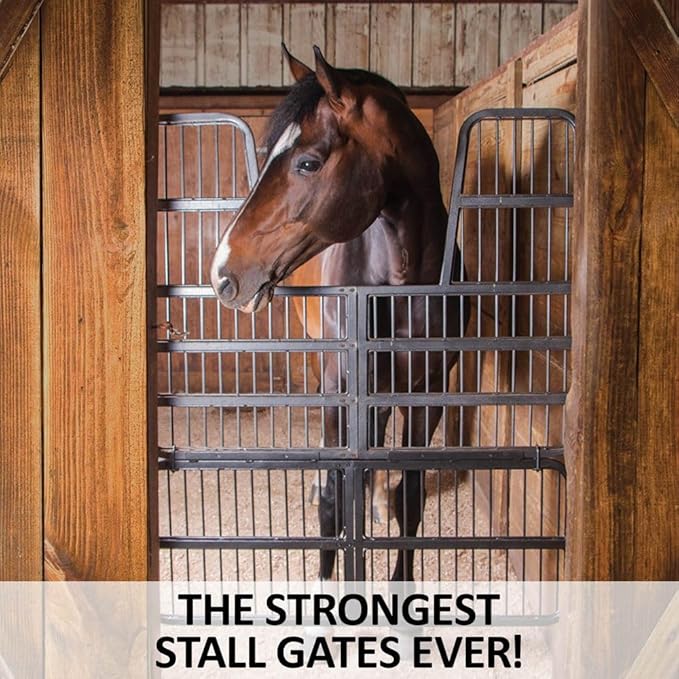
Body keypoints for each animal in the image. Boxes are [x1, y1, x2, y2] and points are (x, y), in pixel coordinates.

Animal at [210, 45, 467, 581]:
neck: (399, 284)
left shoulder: (428, 393)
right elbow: (335, 494)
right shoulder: (339, 382)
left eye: (308, 162)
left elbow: (410, 499)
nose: (223, 273)